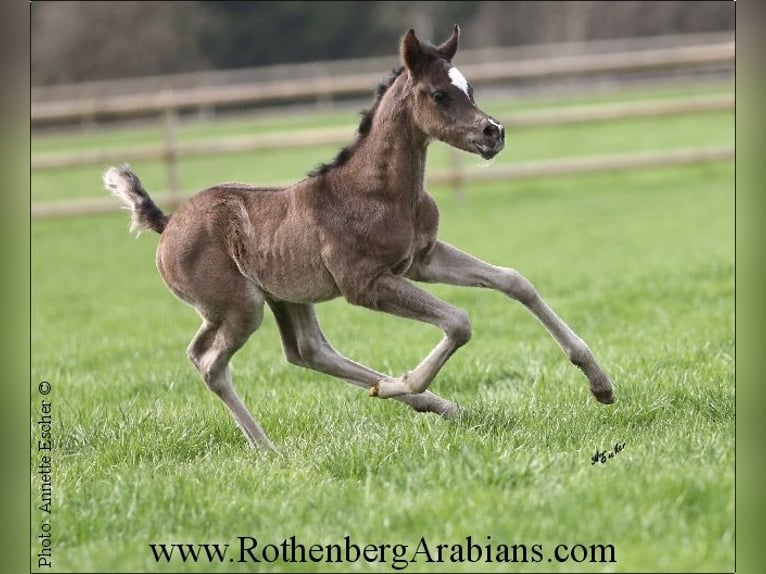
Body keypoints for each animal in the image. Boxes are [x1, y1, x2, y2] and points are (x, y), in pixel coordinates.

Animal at [103, 24, 616, 452]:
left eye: (470, 89)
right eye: (439, 94)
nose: (494, 133)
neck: (378, 191)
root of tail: (167, 222)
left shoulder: (422, 259)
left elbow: (514, 281)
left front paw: (600, 383)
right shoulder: (365, 284)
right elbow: (459, 322)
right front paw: (397, 384)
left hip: (283, 296)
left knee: (305, 351)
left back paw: (443, 406)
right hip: (240, 306)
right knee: (210, 362)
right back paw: (269, 449)